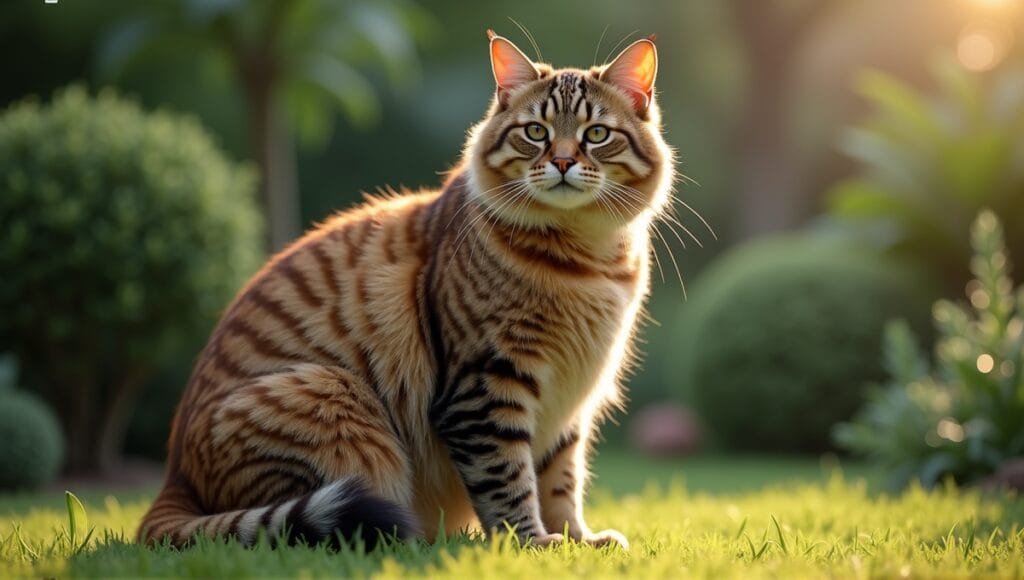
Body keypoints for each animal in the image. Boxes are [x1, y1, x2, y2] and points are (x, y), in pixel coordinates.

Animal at [140, 29, 675, 553]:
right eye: (536, 132)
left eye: (596, 134)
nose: (563, 161)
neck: (587, 259)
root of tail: (171, 479)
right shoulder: (485, 385)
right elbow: (509, 481)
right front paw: (531, 544)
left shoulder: (569, 402)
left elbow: (560, 480)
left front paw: (576, 540)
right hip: (335, 396)